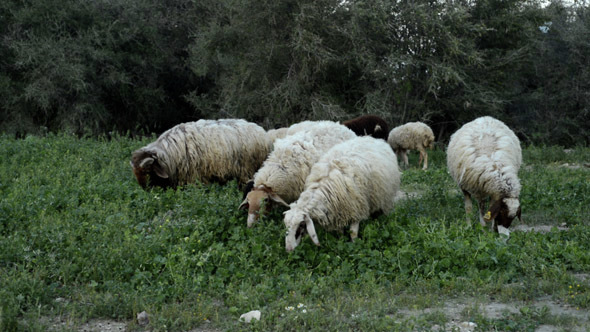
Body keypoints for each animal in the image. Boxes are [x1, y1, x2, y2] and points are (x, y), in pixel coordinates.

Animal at [131, 119, 272, 189]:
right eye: (135, 173)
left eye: (147, 171)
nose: (145, 190)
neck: (170, 153)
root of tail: (262, 132)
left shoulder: (194, 177)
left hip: (246, 170)